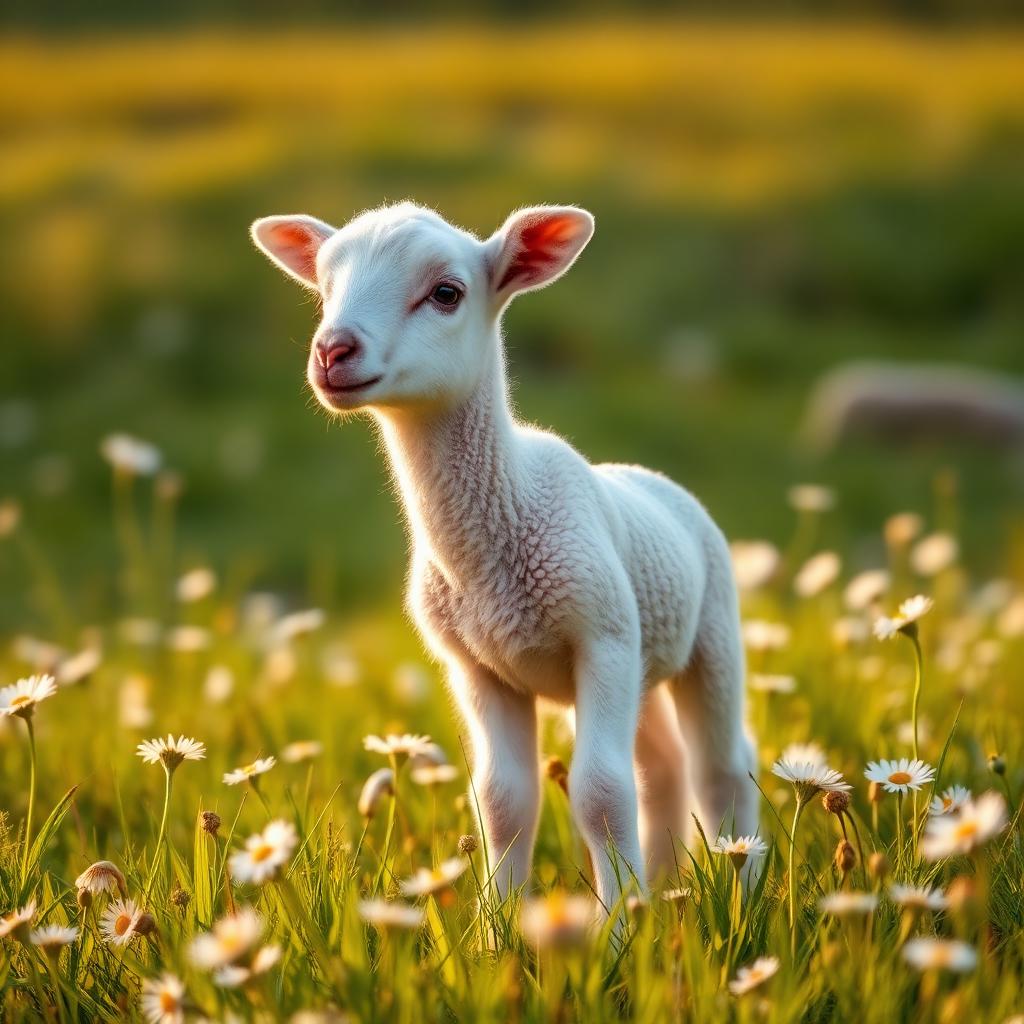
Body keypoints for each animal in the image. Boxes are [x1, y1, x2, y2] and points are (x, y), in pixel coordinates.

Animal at [251, 202, 758, 911]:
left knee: (722, 766)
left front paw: (617, 928)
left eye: (446, 293)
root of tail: (650, 477)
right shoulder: (476, 664)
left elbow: (601, 792)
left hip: (708, 633)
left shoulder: (600, 636)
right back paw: (662, 893)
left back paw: (741, 888)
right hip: (643, 658)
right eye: (324, 288)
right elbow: (502, 800)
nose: (333, 350)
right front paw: (501, 925)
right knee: (663, 768)